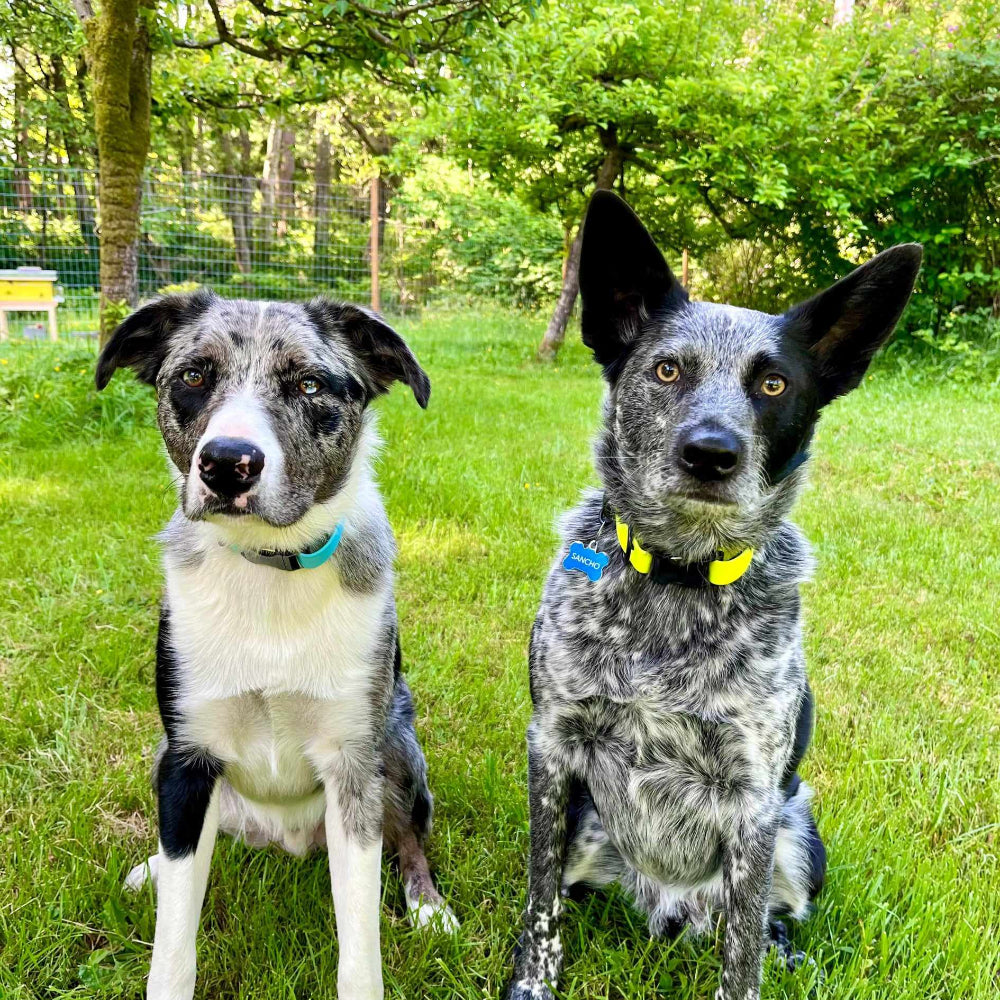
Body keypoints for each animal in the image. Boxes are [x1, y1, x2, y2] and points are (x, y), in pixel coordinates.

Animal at [95, 292, 456, 1000]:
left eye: (309, 384)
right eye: (193, 376)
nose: (226, 463)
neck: (268, 567)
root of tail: (284, 841)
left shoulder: (354, 767)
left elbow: (360, 945)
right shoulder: (188, 759)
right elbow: (174, 939)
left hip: (398, 745)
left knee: (409, 839)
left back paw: (427, 904)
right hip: (163, 754)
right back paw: (153, 868)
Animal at [508, 189, 920, 1000]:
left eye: (773, 384)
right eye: (667, 369)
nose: (711, 452)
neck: (679, 577)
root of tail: (668, 908)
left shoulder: (754, 801)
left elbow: (744, 953)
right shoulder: (553, 747)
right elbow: (541, 905)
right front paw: (531, 983)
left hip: (799, 827)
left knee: (768, 921)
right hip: (590, 826)